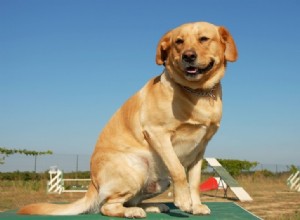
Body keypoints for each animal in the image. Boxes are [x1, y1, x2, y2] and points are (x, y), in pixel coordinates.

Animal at [19, 21, 238, 218]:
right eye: (179, 41)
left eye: (204, 39)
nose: (188, 56)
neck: (198, 92)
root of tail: (93, 183)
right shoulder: (158, 133)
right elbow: (178, 171)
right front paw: (184, 202)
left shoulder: (200, 149)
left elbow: (193, 181)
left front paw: (196, 206)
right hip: (137, 168)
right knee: (107, 206)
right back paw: (133, 212)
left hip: (158, 180)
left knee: (132, 200)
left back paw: (153, 206)